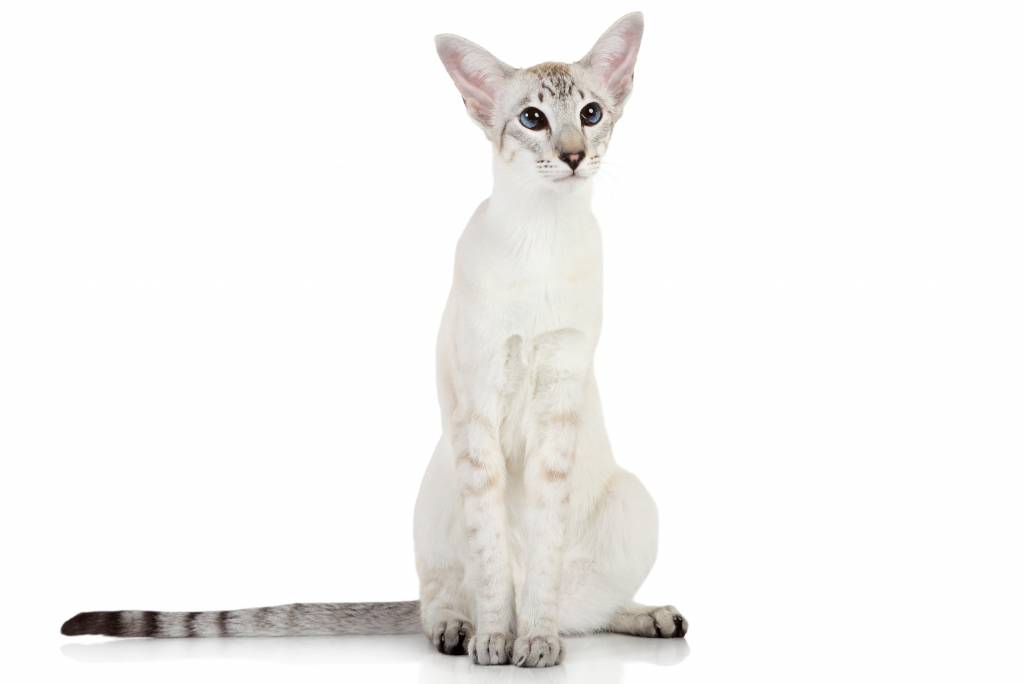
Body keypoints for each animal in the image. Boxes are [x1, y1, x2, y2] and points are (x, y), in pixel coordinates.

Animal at [60, 11, 687, 668]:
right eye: (532, 119)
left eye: (591, 114)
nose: (572, 155)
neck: (542, 233)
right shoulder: (477, 410)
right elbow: (493, 560)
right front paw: (495, 644)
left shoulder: (558, 405)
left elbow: (542, 560)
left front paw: (535, 646)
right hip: (442, 485)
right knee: (439, 599)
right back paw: (462, 631)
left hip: (636, 502)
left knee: (580, 611)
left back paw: (641, 618)